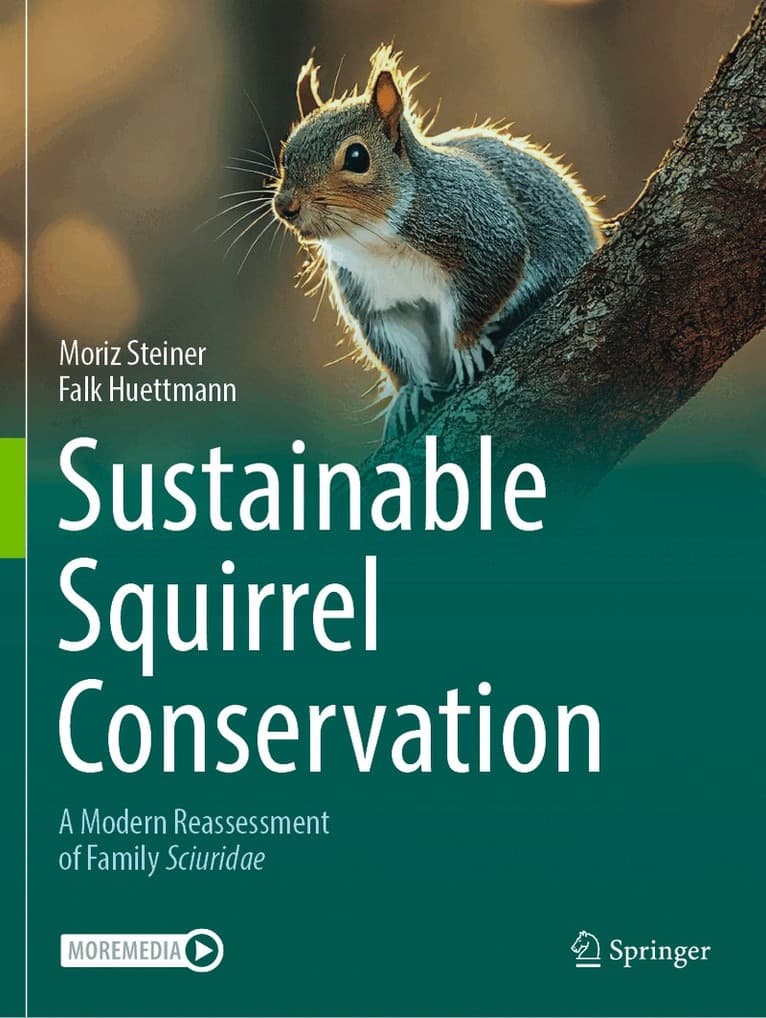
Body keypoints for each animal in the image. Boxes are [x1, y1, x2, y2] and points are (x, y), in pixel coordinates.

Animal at [272, 46, 603, 440]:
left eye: (356, 157)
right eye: (286, 153)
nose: (285, 206)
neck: (375, 240)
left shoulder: (482, 229)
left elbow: (493, 277)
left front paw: (466, 345)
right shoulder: (377, 298)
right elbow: (396, 344)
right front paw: (410, 393)